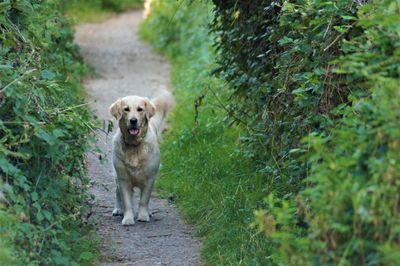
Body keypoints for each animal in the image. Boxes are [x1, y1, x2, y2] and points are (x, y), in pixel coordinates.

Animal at [109, 90, 173, 224]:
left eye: (140, 109)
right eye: (126, 109)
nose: (133, 120)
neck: (134, 145)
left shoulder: (150, 178)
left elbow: (144, 200)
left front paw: (143, 215)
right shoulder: (123, 178)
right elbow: (126, 201)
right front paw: (128, 218)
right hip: (117, 174)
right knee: (117, 192)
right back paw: (118, 209)